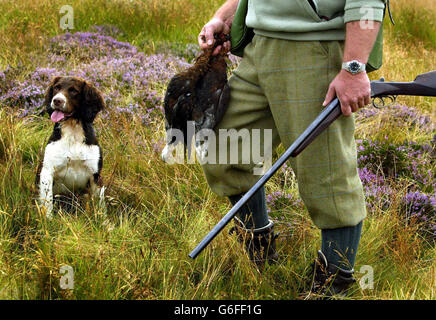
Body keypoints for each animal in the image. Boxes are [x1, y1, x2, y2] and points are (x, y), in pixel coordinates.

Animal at [36, 77, 105, 218]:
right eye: (56, 87)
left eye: (74, 91)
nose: (57, 100)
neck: (73, 133)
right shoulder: (47, 171)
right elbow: (48, 202)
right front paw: (48, 220)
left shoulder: (95, 175)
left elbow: (100, 205)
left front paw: (103, 221)